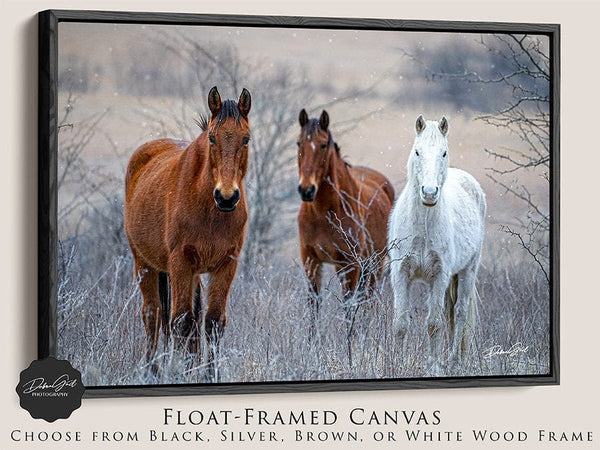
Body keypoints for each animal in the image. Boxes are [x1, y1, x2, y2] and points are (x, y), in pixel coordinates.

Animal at [124, 85, 251, 370]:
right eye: (212, 139)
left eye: (246, 139)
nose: (227, 197)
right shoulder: (180, 262)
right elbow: (180, 321)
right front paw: (181, 372)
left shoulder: (226, 265)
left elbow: (212, 322)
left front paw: (207, 373)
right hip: (144, 264)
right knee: (153, 315)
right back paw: (152, 370)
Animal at [296, 110, 394, 318]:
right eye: (299, 143)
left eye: (323, 145)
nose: (306, 190)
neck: (323, 213)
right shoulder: (311, 261)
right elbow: (314, 307)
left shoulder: (349, 265)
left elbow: (349, 308)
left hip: (374, 264)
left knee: (369, 302)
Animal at [386, 115, 486, 362]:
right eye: (417, 151)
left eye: (444, 152)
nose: (429, 193)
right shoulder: (400, 274)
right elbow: (400, 324)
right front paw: (396, 364)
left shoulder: (439, 276)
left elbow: (434, 324)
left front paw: (433, 364)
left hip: (468, 270)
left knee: (459, 313)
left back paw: (453, 360)